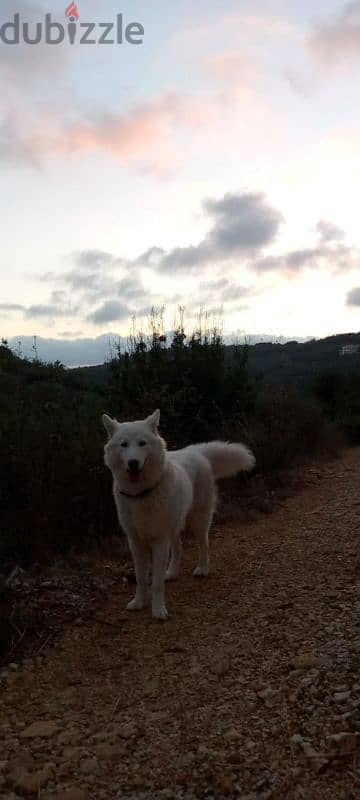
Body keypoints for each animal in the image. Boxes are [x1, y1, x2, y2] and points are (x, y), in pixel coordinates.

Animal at [102, 410, 255, 620]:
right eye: (124, 444)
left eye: (142, 443)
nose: (133, 463)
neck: (141, 494)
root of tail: (197, 451)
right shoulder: (136, 542)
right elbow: (141, 578)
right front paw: (138, 603)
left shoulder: (159, 541)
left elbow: (156, 583)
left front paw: (158, 610)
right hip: (174, 526)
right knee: (179, 547)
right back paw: (172, 572)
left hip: (199, 521)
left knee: (204, 545)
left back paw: (202, 569)